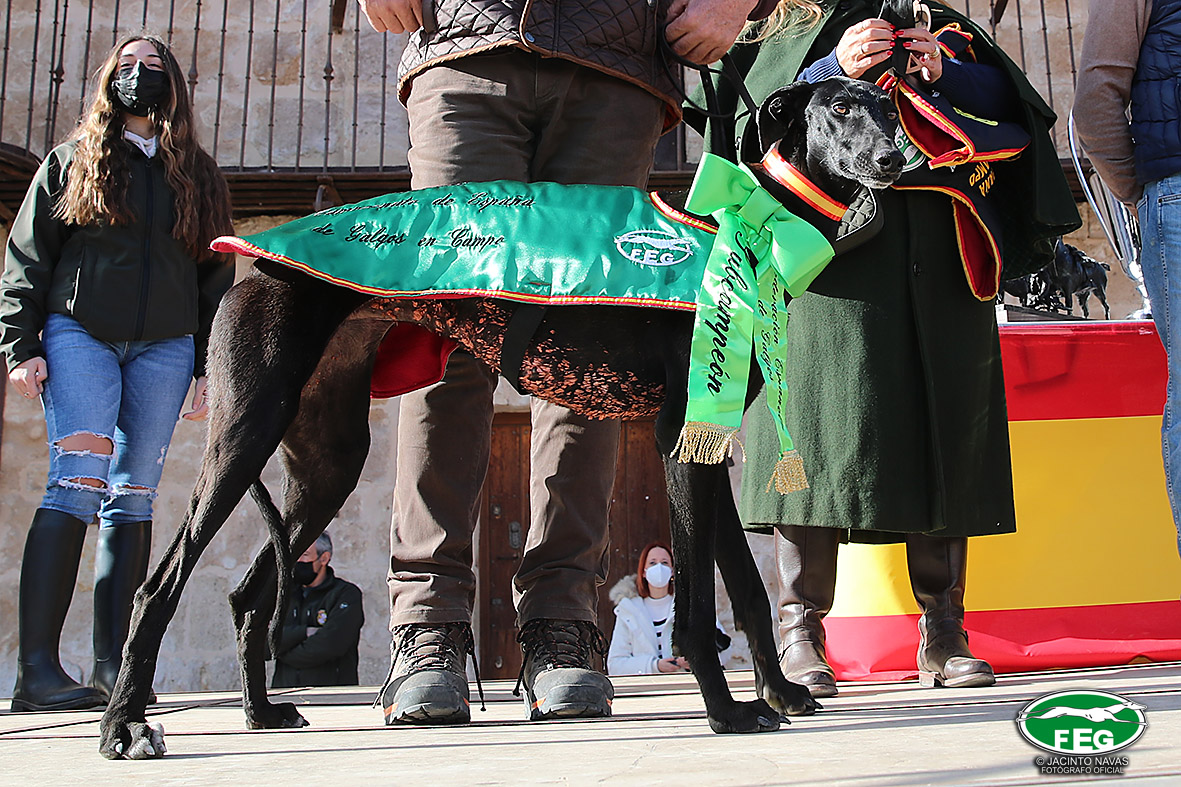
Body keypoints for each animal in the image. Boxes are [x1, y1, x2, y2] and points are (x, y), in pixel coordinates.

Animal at [97, 77, 904, 758]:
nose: (895, 158)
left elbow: (742, 583)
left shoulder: (706, 446)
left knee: (246, 591)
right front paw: (726, 710)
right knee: (157, 585)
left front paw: (781, 695)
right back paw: (124, 726)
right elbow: (701, 599)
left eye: (890, 106)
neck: (747, 224)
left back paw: (260, 711)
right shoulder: (680, 433)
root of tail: (255, 258)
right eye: (840, 107)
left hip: (326, 460)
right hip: (246, 431)